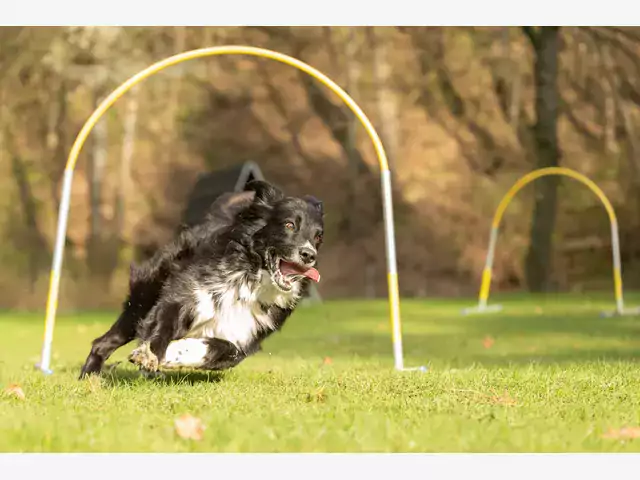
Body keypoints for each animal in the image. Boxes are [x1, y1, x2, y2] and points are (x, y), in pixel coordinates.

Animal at [77, 180, 322, 378]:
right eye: (289, 224)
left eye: (318, 237)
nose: (309, 255)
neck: (250, 282)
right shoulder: (184, 295)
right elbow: (162, 325)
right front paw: (151, 353)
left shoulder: (244, 336)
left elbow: (225, 349)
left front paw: (172, 354)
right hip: (143, 299)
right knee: (102, 343)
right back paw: (90, 378)